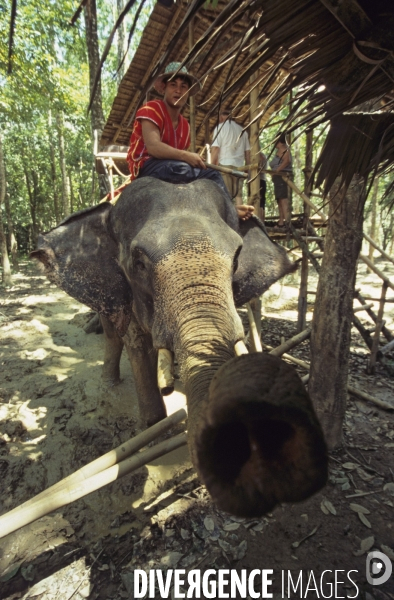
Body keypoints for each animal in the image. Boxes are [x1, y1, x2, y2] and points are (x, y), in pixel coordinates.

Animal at [30, 177, 328, 516]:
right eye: (139, 263)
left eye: (236, 257)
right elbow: (137, 345)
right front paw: (155, 429)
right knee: (111, 332)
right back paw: (110, 380)